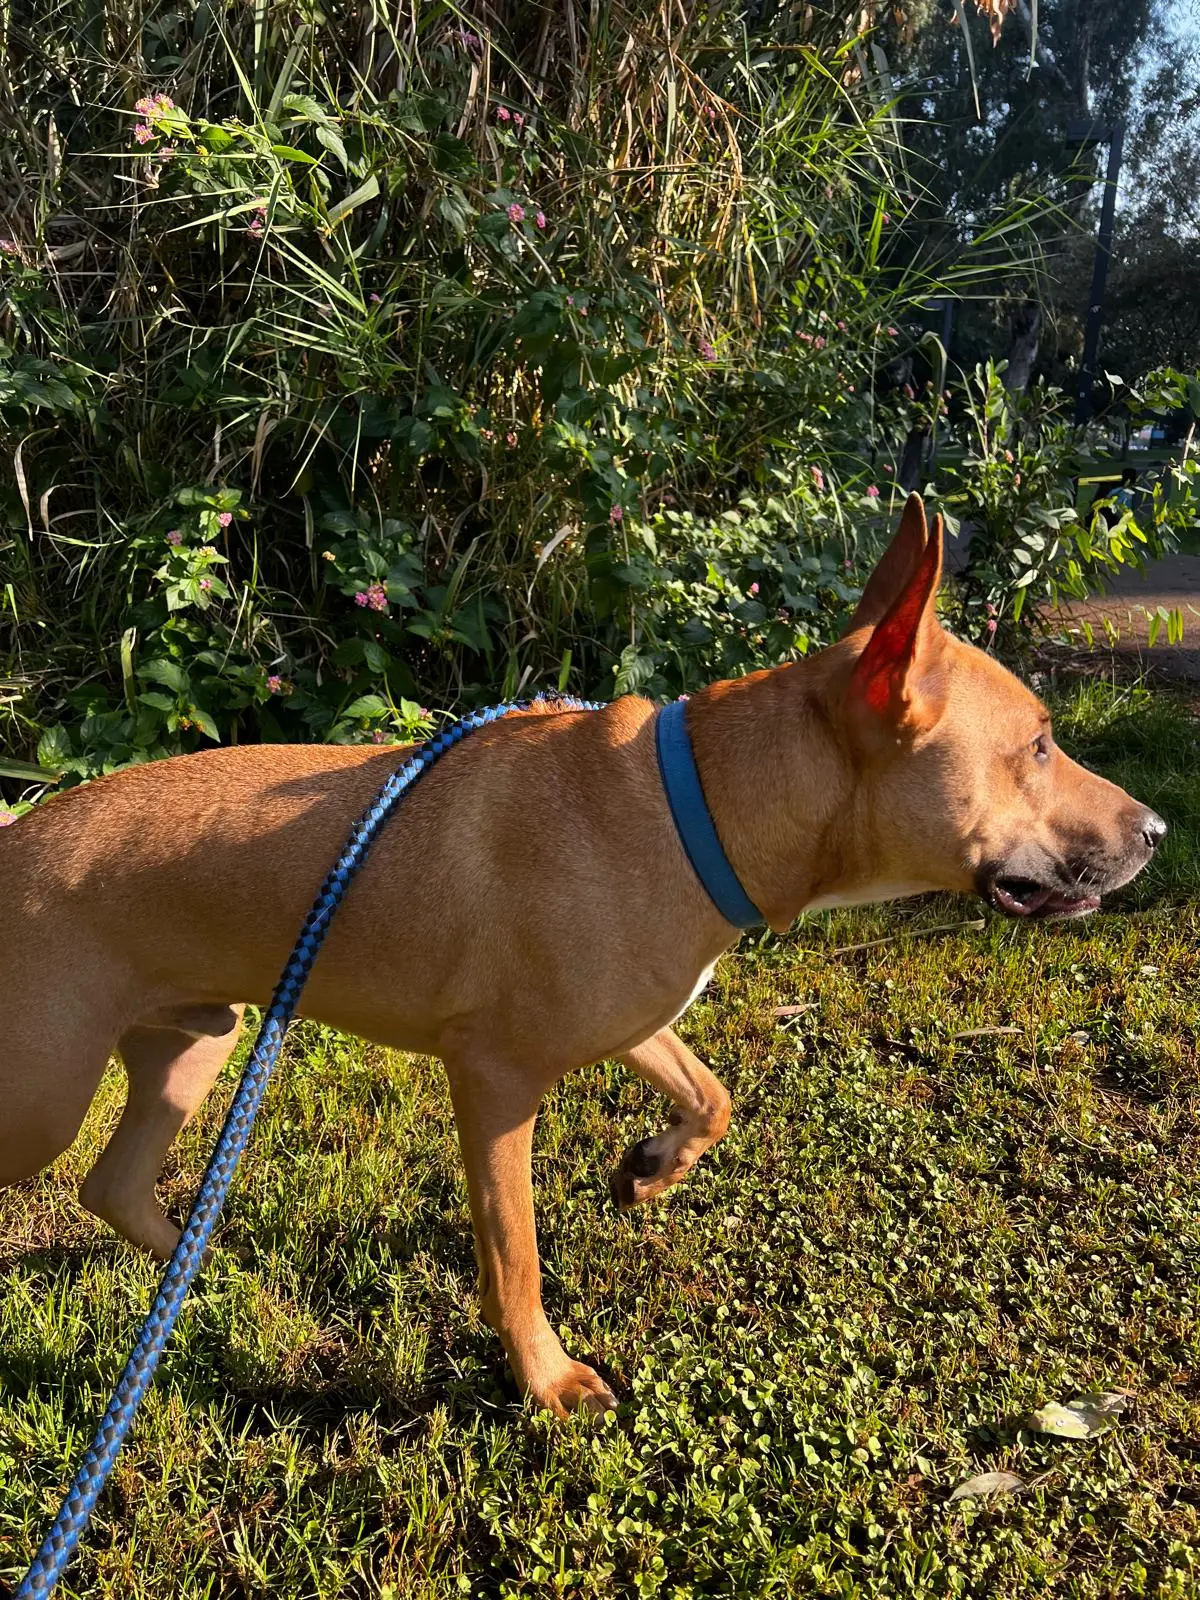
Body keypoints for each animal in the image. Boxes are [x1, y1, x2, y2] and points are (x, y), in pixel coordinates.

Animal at [0, 494, 1165, 1416]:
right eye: (1039, 745)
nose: (1156, 831)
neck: (702, 805)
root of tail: (16, 840)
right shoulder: (494, 1080)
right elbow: (514, 1254)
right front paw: (546, 1379)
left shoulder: (636, 1015)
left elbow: (712, 1094)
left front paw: (653, 1167)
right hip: (43, 1100)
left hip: (196, 1043)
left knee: (112, 1186)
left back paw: (216, 1270)